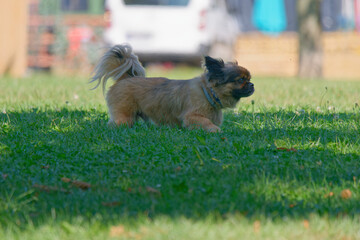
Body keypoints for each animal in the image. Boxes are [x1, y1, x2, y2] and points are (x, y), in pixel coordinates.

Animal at [90, 44, 253, 132]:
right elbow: (206, 123)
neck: (208, 93)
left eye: (249, 79)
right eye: (241, 80)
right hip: (124, 117)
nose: (252, 85)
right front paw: (215, 130)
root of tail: (125, 78)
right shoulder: (192, 117)